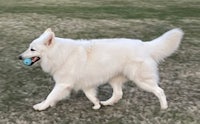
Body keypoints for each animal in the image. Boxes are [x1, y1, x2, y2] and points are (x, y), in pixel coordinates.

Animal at [19, 28, 184, 110]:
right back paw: (107, 103)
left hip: (141, 80)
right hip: (114, 79)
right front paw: (97, 105)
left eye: (32, 49)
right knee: (118, 94)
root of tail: (144, 44)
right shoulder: (86, 84)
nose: (20, 57)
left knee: (159, 91)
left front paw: (41, 106)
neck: (59, 53)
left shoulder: (63, 83)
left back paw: (164, 107)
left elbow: (50, 95)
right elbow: (90, 96)